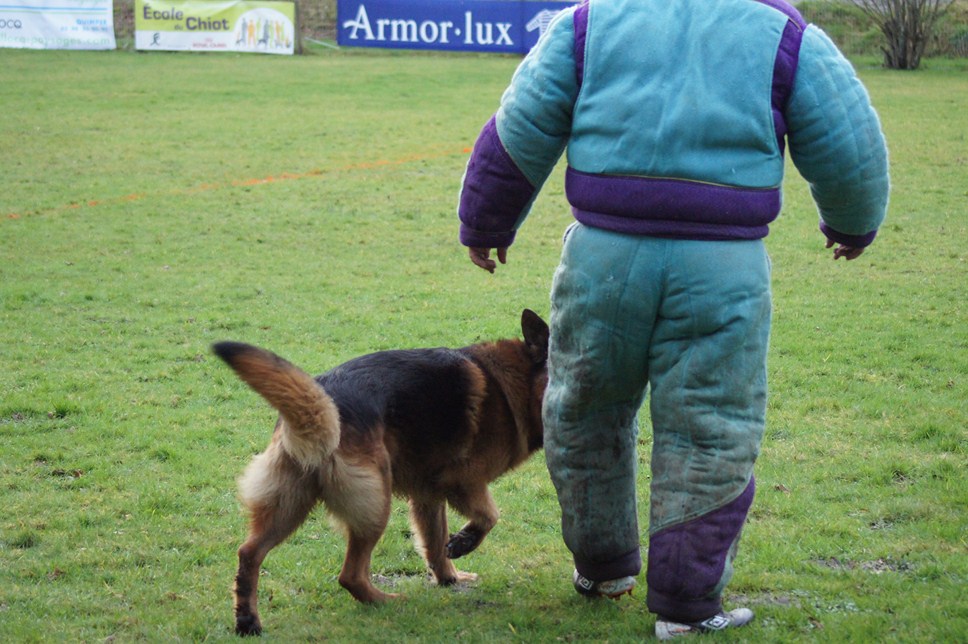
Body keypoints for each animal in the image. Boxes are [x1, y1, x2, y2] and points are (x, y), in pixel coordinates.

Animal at [213, 310, 548, 636]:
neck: (513, 384)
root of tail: (325, 409)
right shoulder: (464, 482)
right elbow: (488, 517)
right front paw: (464, 542)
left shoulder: (428, 496)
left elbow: (435, 544)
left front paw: (449, 579)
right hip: (375, 506)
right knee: (350, 575)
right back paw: (387, 601)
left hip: (288, 507)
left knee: (249, 553)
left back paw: (247, 620)